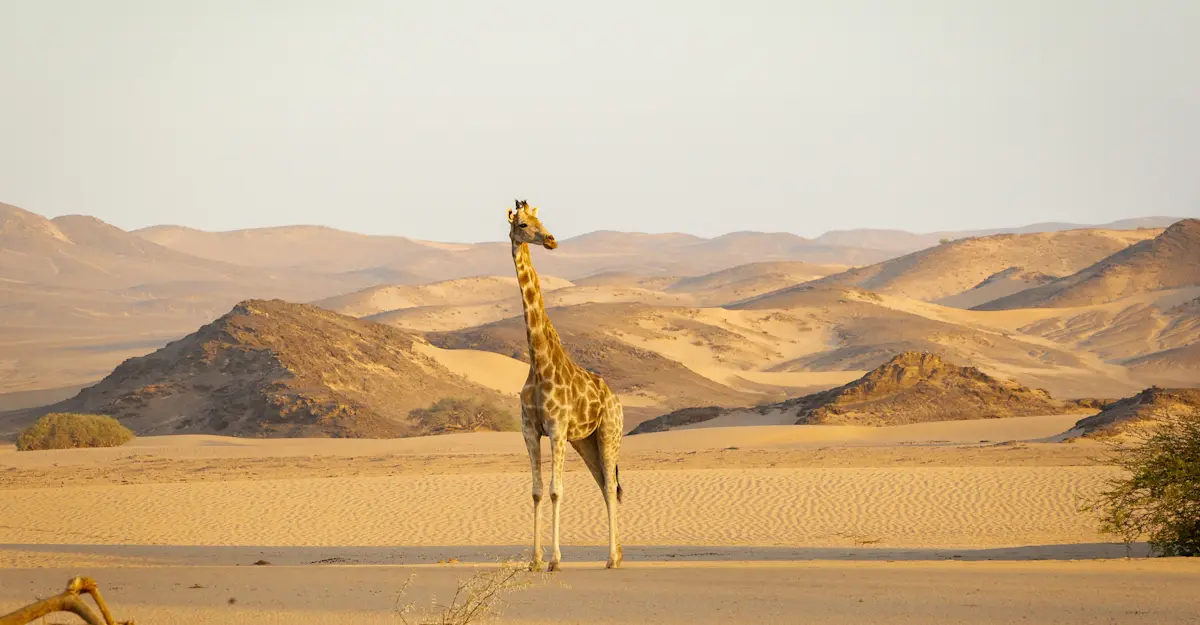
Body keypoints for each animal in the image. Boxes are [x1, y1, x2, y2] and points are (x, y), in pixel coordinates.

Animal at [507, 199, 625, 572]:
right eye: (523, 224)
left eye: (541, 221)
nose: (551, 239)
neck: (539, 363)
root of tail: (616, 400)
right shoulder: (530, 429)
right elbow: (536, 490)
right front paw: (534, 560)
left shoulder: (557, 428)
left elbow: (557, 490)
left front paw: (556, 560)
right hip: (585, 441)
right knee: (604, 484)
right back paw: (616, 555)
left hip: (609, 433)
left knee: (610, 485)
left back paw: (612, 559)